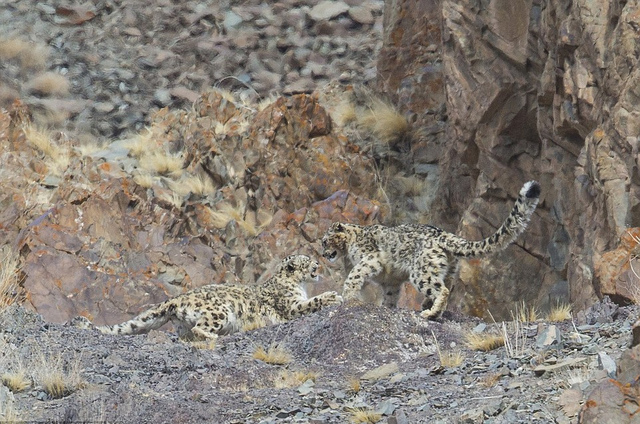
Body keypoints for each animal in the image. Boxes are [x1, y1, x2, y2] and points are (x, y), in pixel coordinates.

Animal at [72, 255, 342, 342]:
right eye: (307, 261)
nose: (318, 264)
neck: (299, 286)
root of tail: (176, 299)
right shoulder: (291, 306)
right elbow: (310, 303)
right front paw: (333, 296)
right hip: (219, 310)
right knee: (200, 330)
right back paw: (217, 336)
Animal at [320, 181, 540, 320]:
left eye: (324, 241)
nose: (323, 254)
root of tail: (445, 234)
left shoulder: (370, 258)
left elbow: (355, 274)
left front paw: (347, 295)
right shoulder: (391, 282)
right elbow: (390, 294)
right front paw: (387, 307)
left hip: (420, 271)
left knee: (441, 289)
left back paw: (430, 313)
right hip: (448, 269)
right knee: (446, 285)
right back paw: (428, 305)